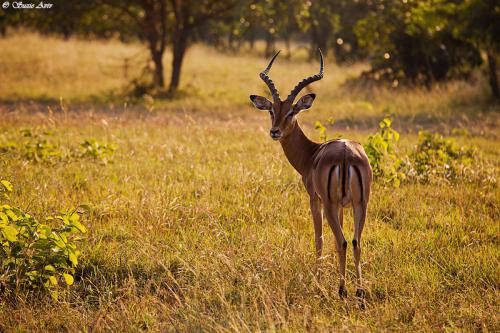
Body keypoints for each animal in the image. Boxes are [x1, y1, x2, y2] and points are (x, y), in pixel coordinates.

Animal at [249, 50, 372, 300]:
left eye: (291, 111)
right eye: (272, 110)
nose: (274, 131)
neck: (311, 154)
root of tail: (346, 154)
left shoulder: (315, 200)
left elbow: (319, 239)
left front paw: (318, 280)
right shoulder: (342, 206)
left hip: (330, 204)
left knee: (343, 241)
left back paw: (342, 290)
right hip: (360, 204)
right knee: (355, 241)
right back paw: (360, 292)